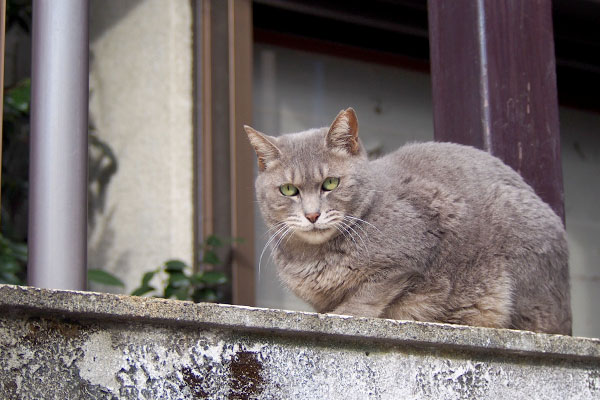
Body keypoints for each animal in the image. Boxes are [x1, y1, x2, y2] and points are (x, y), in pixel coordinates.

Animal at [245, 107, 572, 334]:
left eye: (330, 183)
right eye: (289, 190)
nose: (312, 215)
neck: (315, 255)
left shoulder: (411, 250)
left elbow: (368, 293)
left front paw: (340, 314)